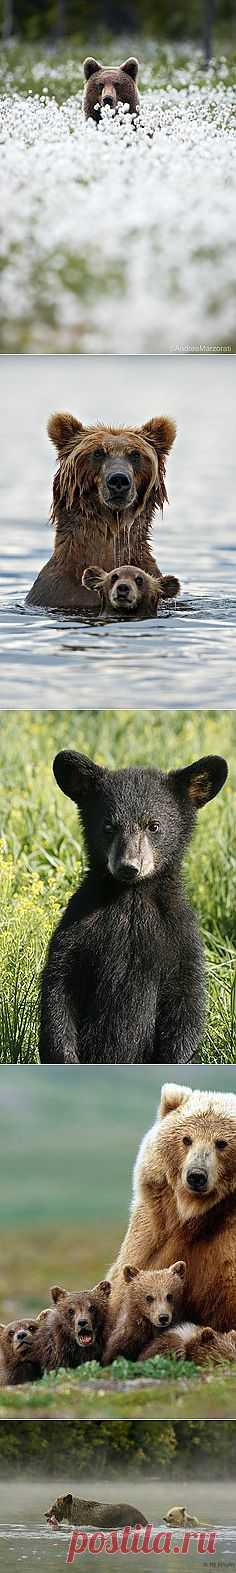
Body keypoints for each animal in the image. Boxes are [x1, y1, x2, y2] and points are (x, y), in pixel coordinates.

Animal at [38, 742, 226, 1063]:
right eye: (108, 826)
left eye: (154, 826)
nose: (129, 866)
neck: (131, 899)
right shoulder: (77, 927)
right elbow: (59, 987)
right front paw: (64, 1056)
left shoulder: (180, 936)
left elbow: (186, 1001)